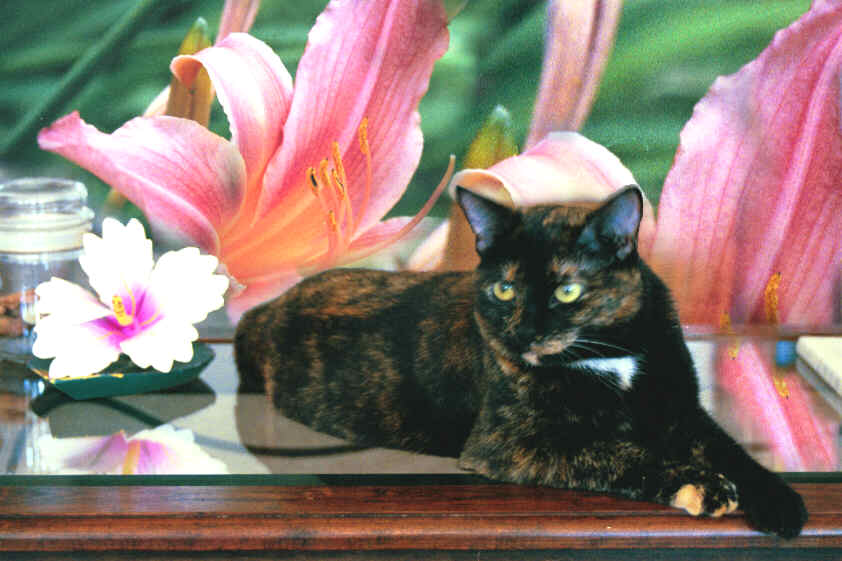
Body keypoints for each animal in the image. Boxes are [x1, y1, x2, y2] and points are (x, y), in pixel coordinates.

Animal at [235, 186, 808, 536]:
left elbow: (733, 451)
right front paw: (701, 484)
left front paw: (779, 501)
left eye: (567, 290)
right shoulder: (512, 444)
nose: (524, 333)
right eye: (505, 289)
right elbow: (619, 453)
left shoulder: (681, 411)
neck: (610, 353)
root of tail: (268, 309)